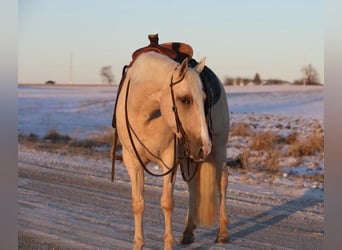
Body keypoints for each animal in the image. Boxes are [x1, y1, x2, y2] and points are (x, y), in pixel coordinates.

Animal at [115, 50, 230, 248]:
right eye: (185, 99)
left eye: (205, 99)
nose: (205, 146)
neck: (144, 114)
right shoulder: (132, 162)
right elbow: (138, 203)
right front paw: (138, 244)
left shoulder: (169, 161)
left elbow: (167, 203)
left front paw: (168, 244)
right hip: (190, 155)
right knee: (193, 187)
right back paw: (188, 232)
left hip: (218, 147)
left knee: (221, 181)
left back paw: (222, 233)